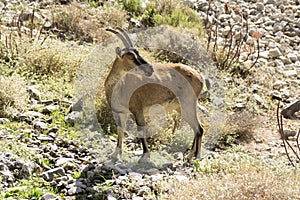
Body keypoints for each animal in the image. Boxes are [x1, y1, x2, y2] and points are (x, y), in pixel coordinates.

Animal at [104, 27, 205, 162]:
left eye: (138, 53)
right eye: (131, 57)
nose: (150, 69)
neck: (119, 88)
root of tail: (200, 77)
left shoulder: (138, 111)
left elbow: (141, 130)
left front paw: (145, 156)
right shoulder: (122, 113)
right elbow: (120, 130)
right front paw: (115, 154)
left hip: (188, 104)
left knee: (199, 128)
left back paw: (196, 156)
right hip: (180, 108)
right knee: (196, 128)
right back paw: (190, 156)